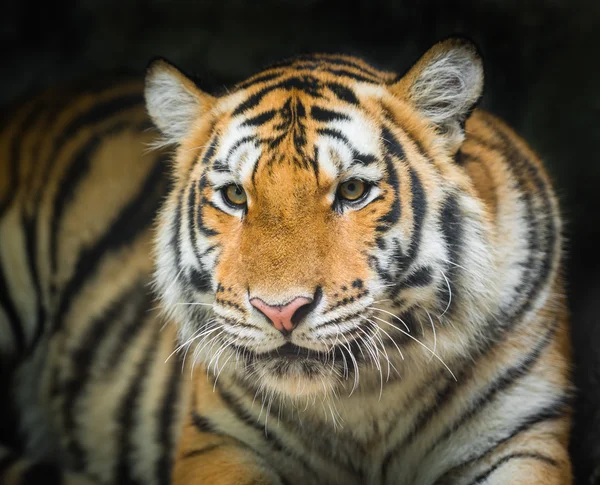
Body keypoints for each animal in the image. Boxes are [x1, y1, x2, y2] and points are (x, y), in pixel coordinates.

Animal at [0, 38, 572, 484]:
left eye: (353, 190)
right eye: (234, 195)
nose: (280, 311)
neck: (368, 401)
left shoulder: (523, 436)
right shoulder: (221, 441)